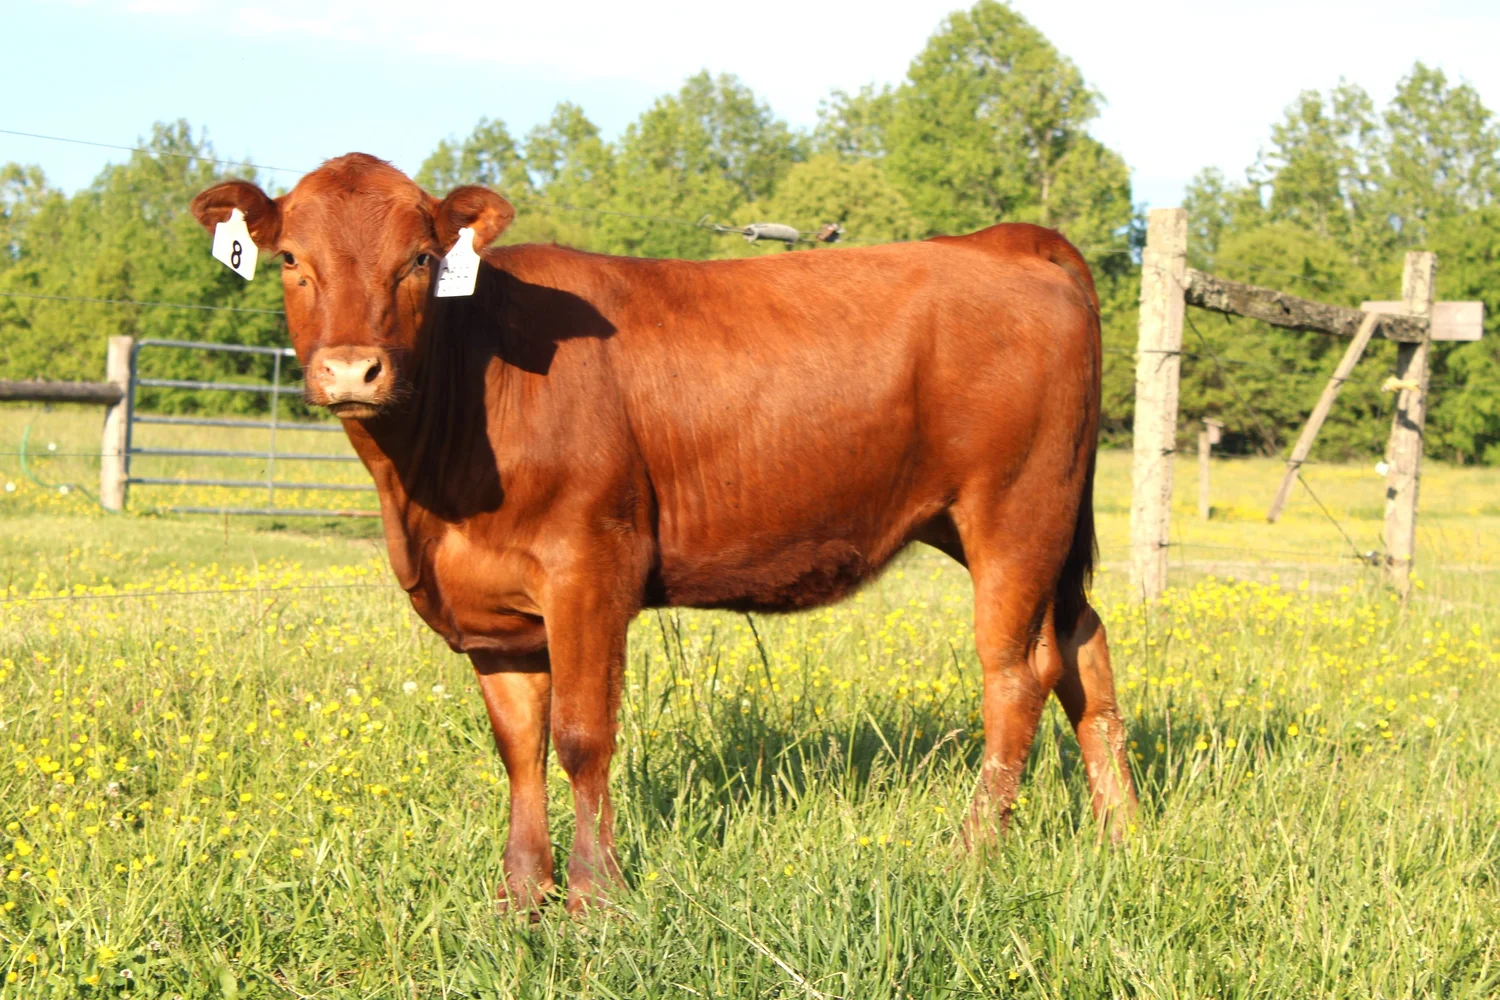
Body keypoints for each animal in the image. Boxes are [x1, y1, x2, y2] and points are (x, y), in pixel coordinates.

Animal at [191, 153, 1137, 914]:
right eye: (290, 260)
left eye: (420, 259)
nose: (353, 369)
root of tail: (1003, 240)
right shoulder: (492, 612)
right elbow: (518, 747)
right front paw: (518, 895)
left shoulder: (589, 568)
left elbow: (581, 736)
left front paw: (594, 899)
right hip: (1031, 528)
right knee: (1083, 648)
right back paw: (1121, 833)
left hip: (1015, 511)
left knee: (1015, 675)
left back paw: (972, 854)